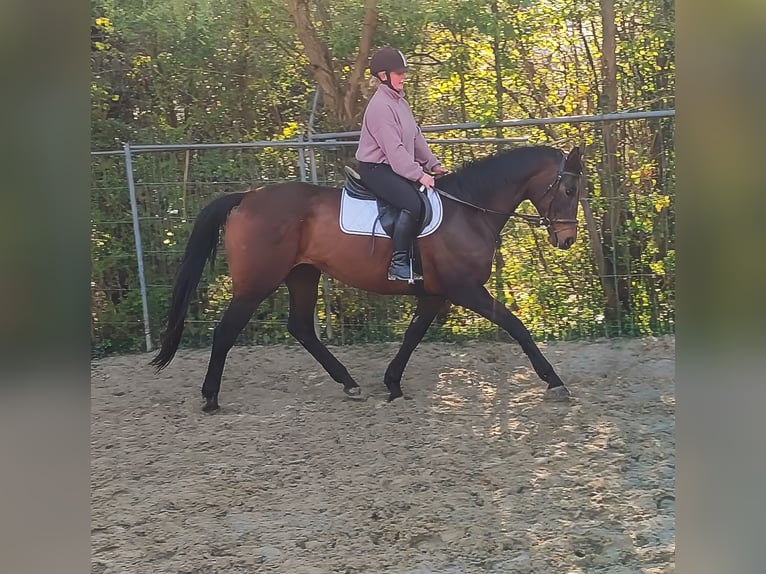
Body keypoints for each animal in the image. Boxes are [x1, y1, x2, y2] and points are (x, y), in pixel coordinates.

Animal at [151, 144, 584, 412]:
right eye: (569, 189)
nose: (566, 240)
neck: (469, 211)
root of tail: (247, 196)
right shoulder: (465, 290)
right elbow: (516, 326)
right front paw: (553, 381)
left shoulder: (437, 294)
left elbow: (413, 334)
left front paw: (392, 382)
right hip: (257, 284)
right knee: (226, 331)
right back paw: (210, 398)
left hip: (303, 275)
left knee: (301, 327)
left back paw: (348, 382)